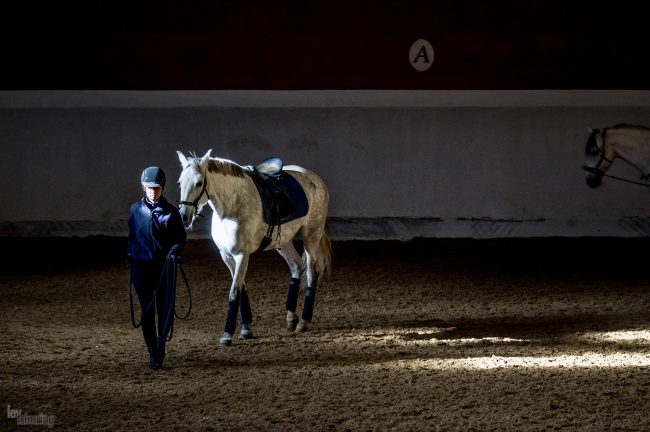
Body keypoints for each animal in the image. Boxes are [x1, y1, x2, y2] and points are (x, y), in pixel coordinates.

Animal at [176, 150, 332, 346]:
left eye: (198, 183)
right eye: (180, 182)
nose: (184, 217)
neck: (232, 207)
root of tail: (314, 177)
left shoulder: (242, 255)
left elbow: (234, 291)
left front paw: (227, 335)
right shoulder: (227, 256)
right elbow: (241, 288)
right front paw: (246, 329)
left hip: (311, 236)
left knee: (311, 273)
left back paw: (303, 322)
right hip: (283, 241)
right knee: (296, 266)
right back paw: (291, 317)